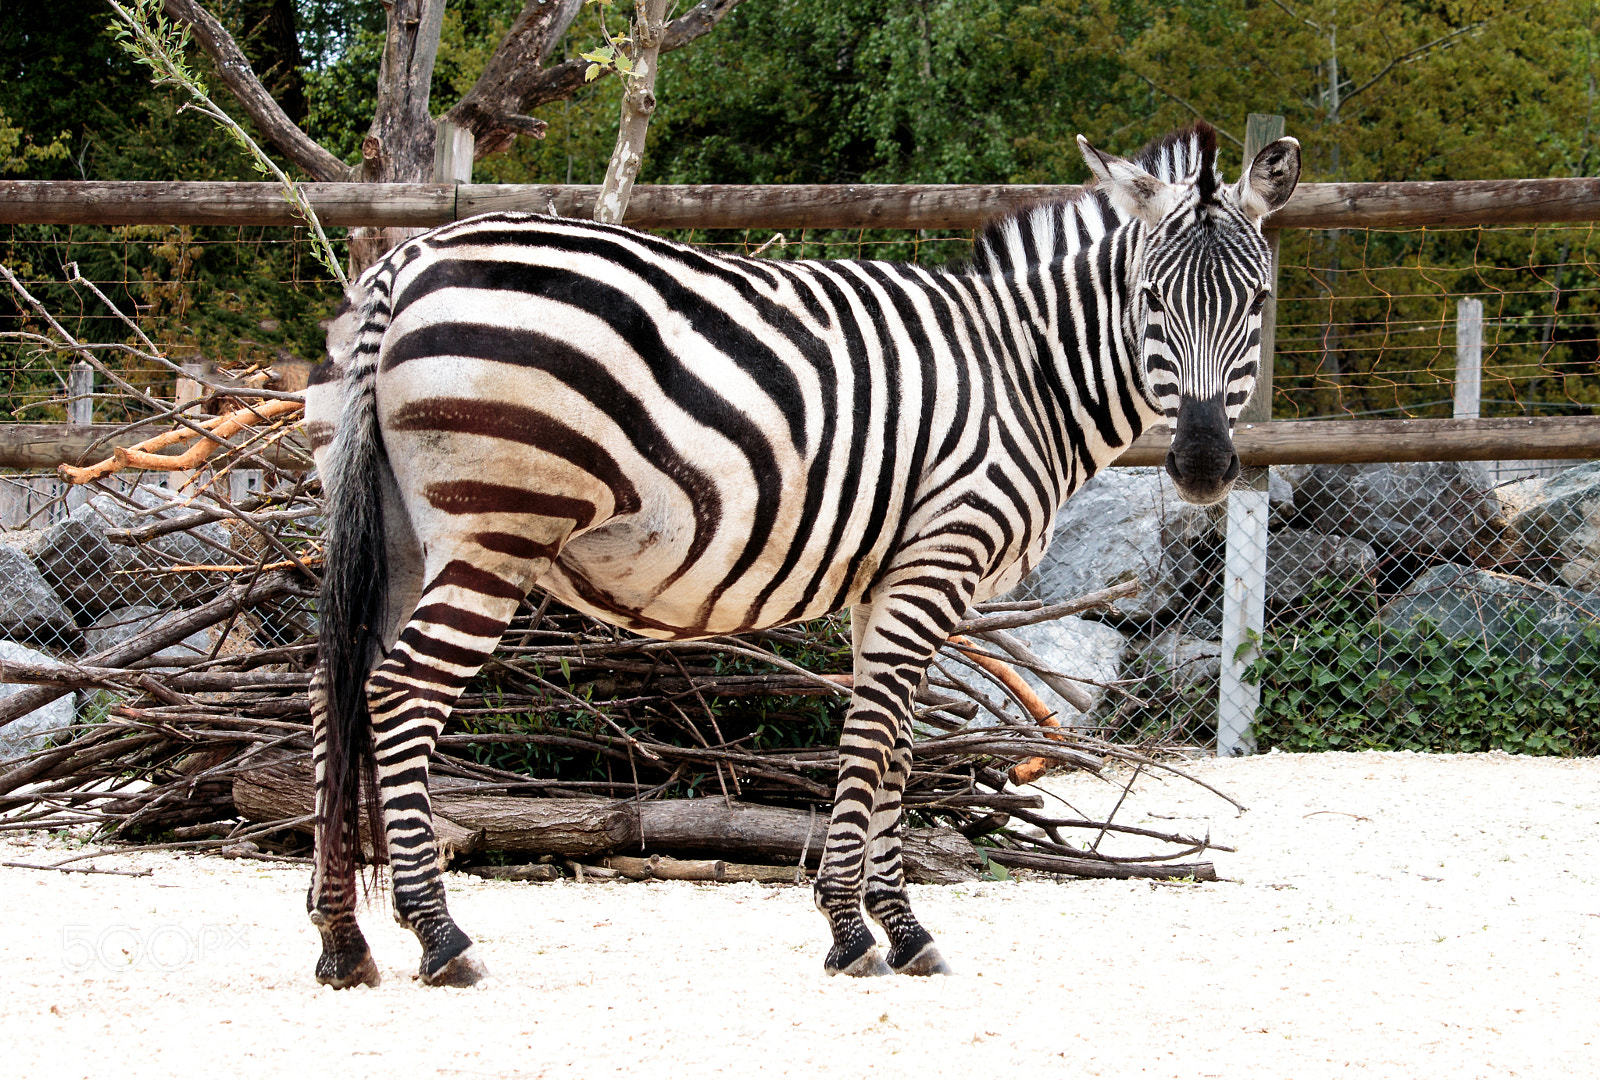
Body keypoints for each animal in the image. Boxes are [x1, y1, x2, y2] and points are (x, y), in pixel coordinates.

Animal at [302, 120, 1300, 988]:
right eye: (1150, 301)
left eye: (1257, 303)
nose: (1203, 466)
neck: (1022, 374)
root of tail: (407, 260)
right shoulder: (937, 561)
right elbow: (873, 740)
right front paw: (854, 930)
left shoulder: (890, 581)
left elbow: (899, 745)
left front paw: (903, 929)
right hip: (496, 530)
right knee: (396, 693)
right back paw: (440, 937)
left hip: (398, 532)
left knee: (332, 691)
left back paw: (342, 940)